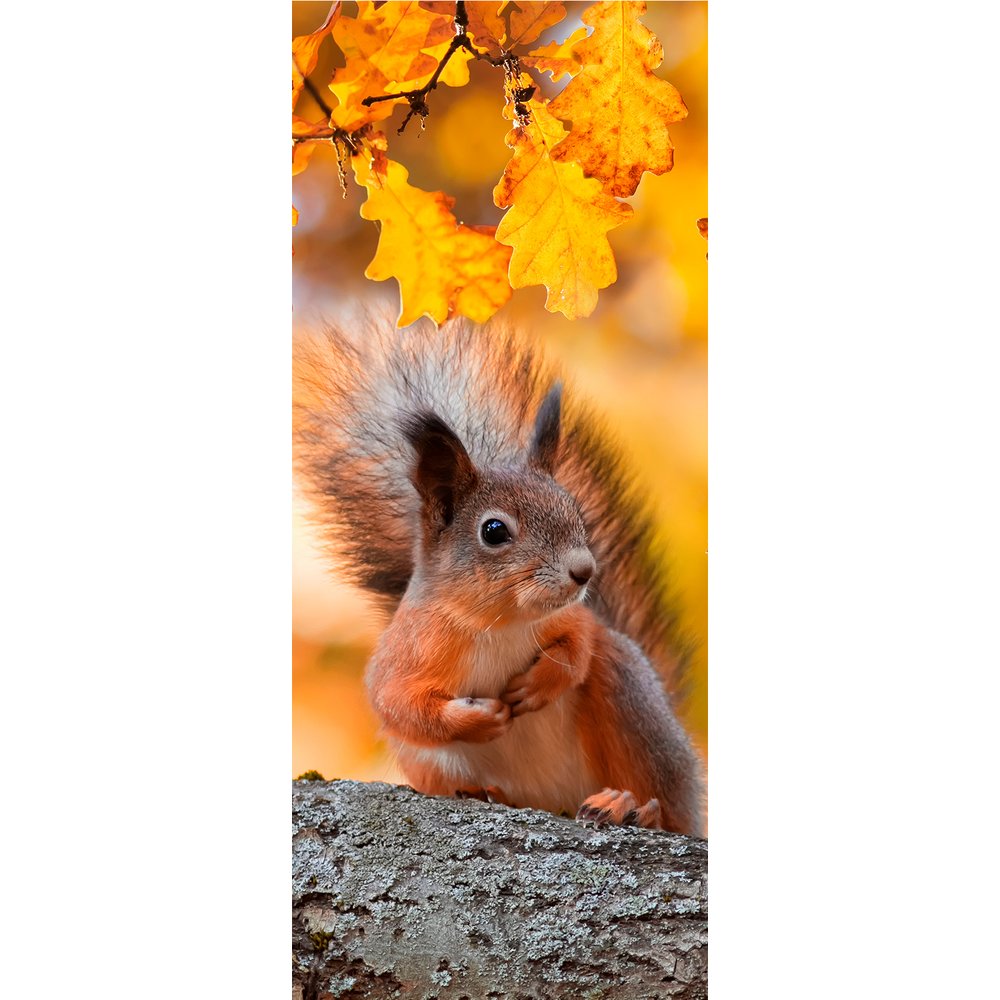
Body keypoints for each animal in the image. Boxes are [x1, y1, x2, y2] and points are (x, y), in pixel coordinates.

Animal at [293, 315, 705, 836]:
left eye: (575, 512)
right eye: (494, 531)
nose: (584, 571)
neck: (499, 623)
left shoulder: (572, 617)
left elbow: (580, 643)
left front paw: (540, 682)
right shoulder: (402, 657)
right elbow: (401, 708)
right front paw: (479, 719)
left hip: (632, 700)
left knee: (664, 800)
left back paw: (633, 807)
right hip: (429, 763)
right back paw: (486, 793)